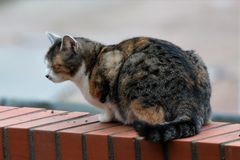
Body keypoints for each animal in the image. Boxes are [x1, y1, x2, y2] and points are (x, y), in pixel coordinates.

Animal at [44, 32, 211, 141]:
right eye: (46, 65)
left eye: (55, 66)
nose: (47, 76)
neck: (93, 60)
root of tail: (191, 97)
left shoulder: (111, 67)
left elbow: (108, 106)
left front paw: (105, 118)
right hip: (197, 57)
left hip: (132, 70)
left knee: (156, 118)